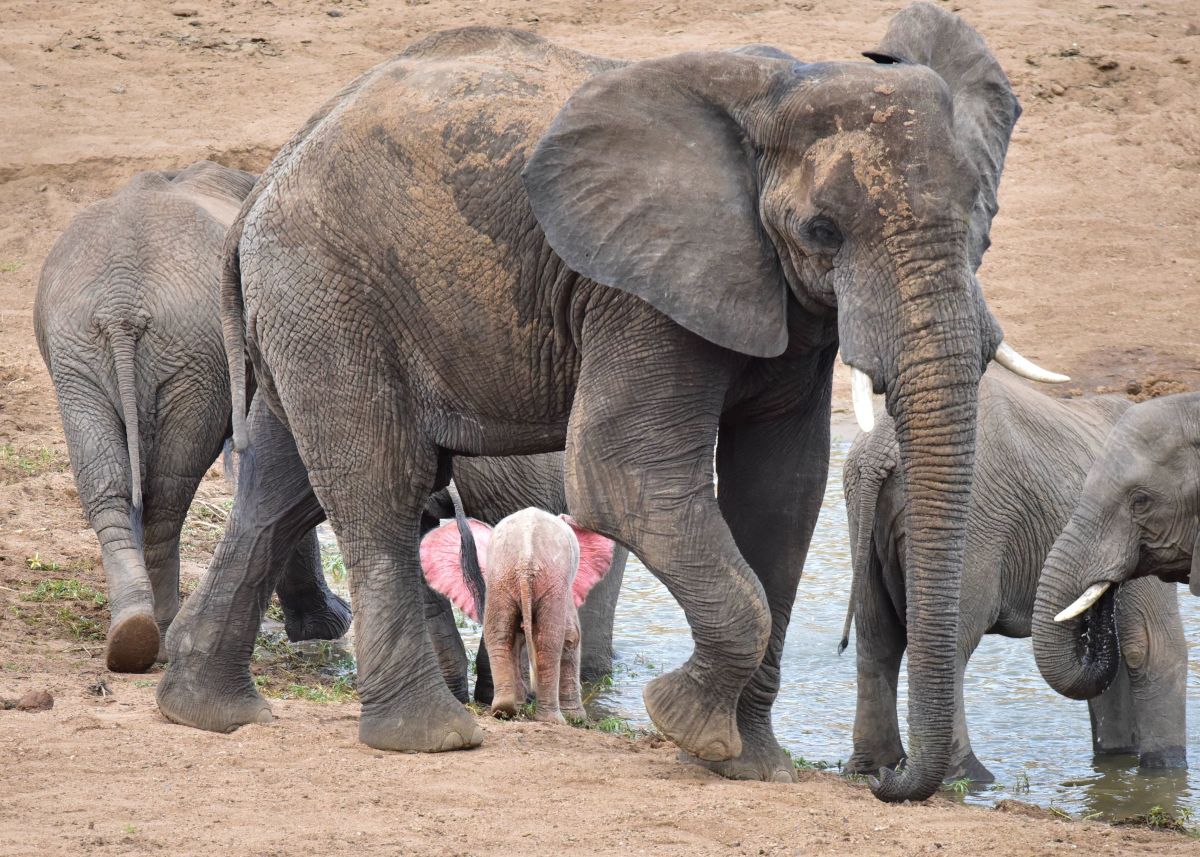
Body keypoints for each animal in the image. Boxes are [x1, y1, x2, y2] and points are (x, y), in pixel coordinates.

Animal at [422, 506, 614, 720]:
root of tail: (525, 559)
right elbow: (571, 635)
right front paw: (576, 718)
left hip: (502, 577)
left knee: (500, 635)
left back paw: (504, 709)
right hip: (550, 579)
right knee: (549, 640)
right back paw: (552, 719)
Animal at [844, 367, 1190, 782]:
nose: (1102, 601)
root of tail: (878, 446)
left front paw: (1116, 762)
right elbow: (1150, 647)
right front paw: (1165, 774)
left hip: (862, 515)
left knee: (877, 637)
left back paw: (874, 768)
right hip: (971, 521)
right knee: (949, 642)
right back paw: (972, 777)